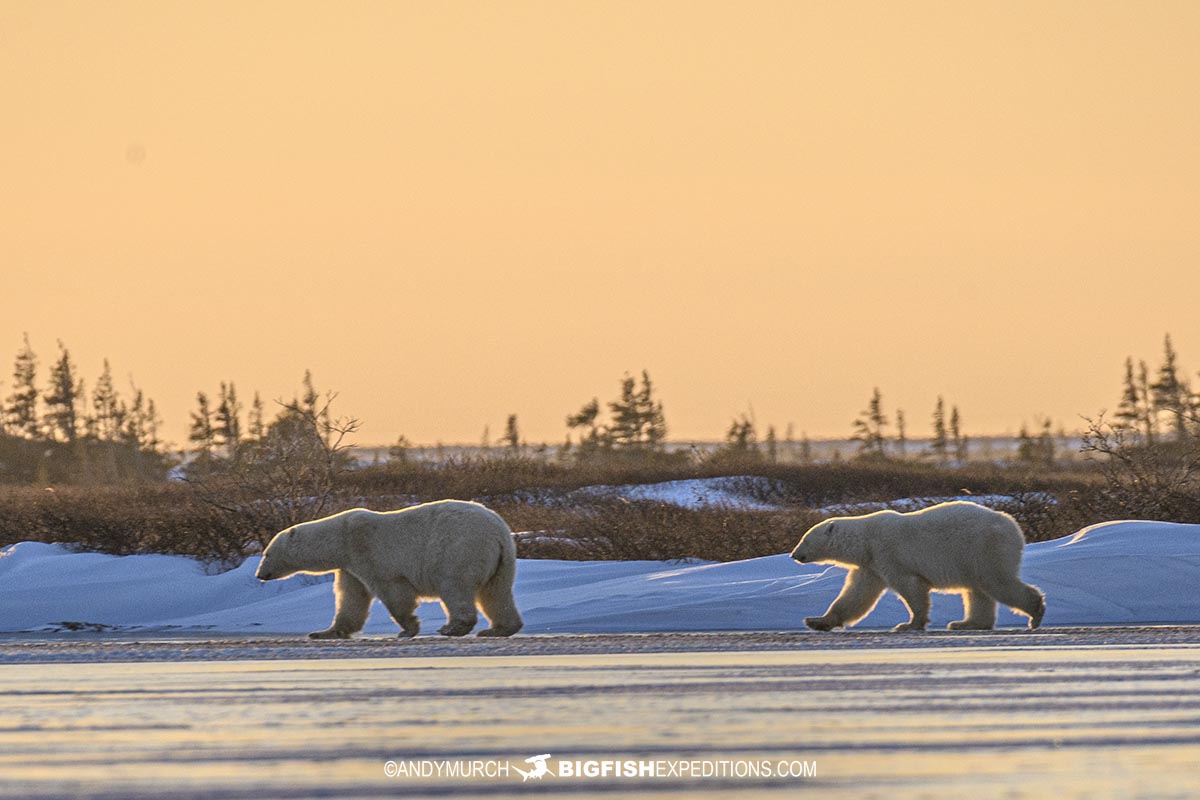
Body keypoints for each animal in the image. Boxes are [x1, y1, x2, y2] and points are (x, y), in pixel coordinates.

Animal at [255, 500, 523, 639]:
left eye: (267, 553)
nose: (260, 574)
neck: (341, 538)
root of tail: (497, 531)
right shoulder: (350, 566)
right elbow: (351, 599)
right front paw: (325, 632)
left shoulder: (367, 551)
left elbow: (393, 593)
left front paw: (408, 629)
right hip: (503, 560)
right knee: (497, 593)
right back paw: (499, 629)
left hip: (459, 549)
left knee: (455, 586)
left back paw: (453, 627)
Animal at [790, 501, 1045, 632]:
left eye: (805, 539)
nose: (794, 555)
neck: (865, 541)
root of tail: (1013, 526)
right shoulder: (871, 565)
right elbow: (856, 595)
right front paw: (817, 621)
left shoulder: (889, 554)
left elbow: (911, 587)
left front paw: (910, 624)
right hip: (973, 557)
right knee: (977, 590)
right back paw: (966, 623)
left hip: (983, 548)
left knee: (996, 582)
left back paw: (1035, 613)